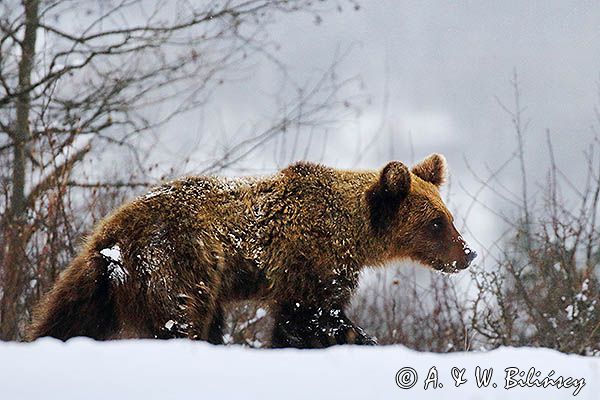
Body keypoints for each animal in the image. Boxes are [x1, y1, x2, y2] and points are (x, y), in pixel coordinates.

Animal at [27, 153, 478, 346]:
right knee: (180, 319)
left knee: (68, 317)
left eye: (449, 216)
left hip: (99, 282)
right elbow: (311, 317)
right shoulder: (310, 261)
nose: (467, 253)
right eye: (436, 223)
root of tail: (112, 236)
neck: (353, 232)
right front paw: (357, 338)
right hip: (179, 263)